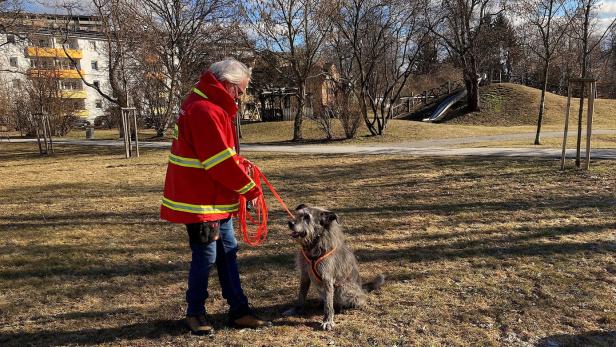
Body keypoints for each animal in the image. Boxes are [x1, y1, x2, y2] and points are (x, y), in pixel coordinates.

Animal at [284, 204, 384, 332]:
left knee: (357, 299)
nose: (290, 223)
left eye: (307, 217)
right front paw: (296, 310)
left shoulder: (327, 278)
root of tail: (361, 288)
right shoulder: (305, 274)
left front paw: (328, 321)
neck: (315, 243)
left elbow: (328, 304)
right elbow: (301, 295)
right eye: (298, 214)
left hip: (342, 288)